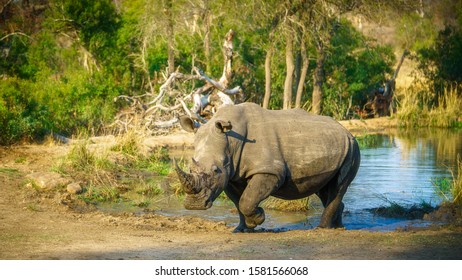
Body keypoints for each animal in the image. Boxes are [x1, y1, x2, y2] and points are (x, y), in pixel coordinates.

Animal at [175, 102, 360, 232]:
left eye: (215, 170)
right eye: (190, 169)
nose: (194, 205)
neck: (231, 140)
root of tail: (346, 130)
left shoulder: (269, 171)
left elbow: (247, 199)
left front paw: (258, 219)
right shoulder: (230, 176)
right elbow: (238, 201)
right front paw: (243, 229)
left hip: (352, 148)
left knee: (338, 187)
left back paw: (322, 228)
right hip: (333, 145)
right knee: (324, 189)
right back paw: (338, 227)